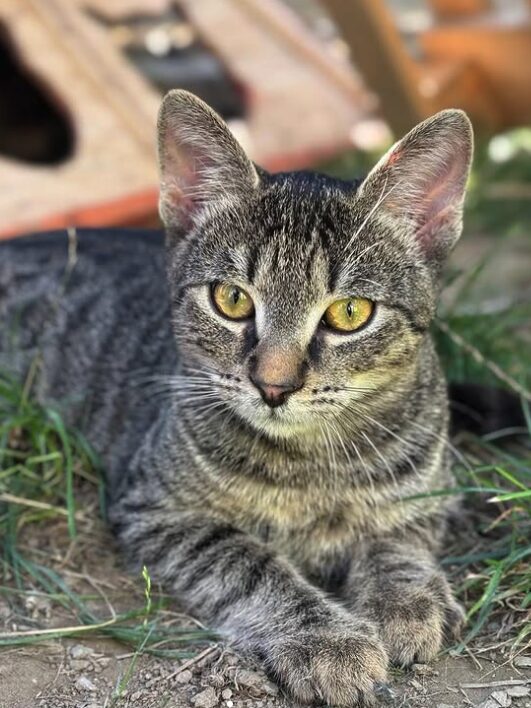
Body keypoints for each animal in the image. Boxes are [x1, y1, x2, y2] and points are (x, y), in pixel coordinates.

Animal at [0, 91, 474, 704]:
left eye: (350, 312)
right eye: (231, 299)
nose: (274, 385)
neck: (308, 465)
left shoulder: (429, 490)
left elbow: (398, 539)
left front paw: (407, 598)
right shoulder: (158, 510)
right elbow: (251, 563)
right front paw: (327, 639)